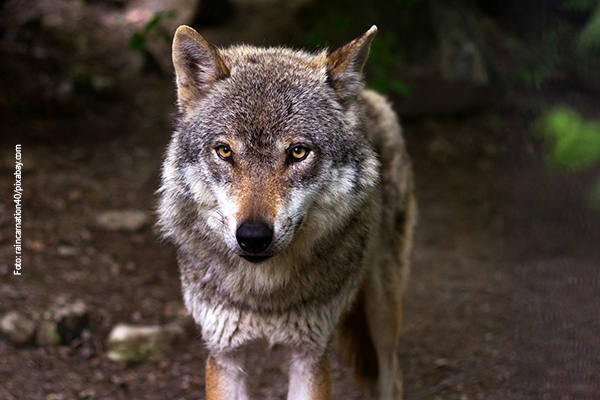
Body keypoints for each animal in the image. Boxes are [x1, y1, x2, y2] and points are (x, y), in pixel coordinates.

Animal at [157, 25, 414, 400]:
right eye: (224, 151)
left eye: (297, 152)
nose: (253, 237)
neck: (264, 295)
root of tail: (365, 96)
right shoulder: (224, 355)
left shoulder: (310, 355)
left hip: (383, 311)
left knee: (392, 375)